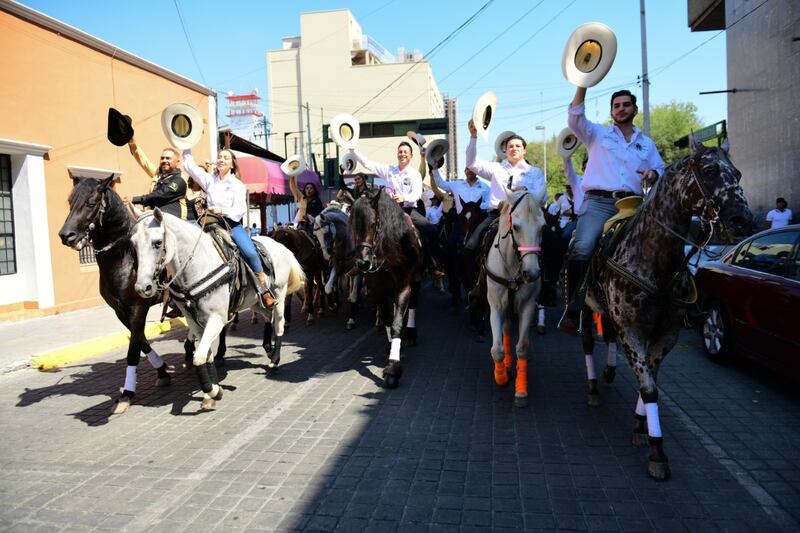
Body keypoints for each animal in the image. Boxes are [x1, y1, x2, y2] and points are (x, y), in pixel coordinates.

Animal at [58, 177, 177, 414]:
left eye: (91, 203)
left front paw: (127, 393)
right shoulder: (120, 311)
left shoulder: (138, 307)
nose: (66, 235)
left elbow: (133, 349)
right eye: (70, 201)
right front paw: (162, 371)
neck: (124, 257)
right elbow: (139, 340)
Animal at [131, 208, 306, 408]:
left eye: (157, 242)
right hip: (255, 302)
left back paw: (275, 361)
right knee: (268, 317)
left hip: (279, 294)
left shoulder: (217, 318)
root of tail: (280, 245)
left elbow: (199, 356)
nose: (142, 288)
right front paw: (212, 391)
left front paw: (212, 390)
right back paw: (268, 349)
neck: (197, 267)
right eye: (133, 244)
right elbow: (205, 354)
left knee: (279, 324)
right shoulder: (194, 321)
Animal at [352, 187, 424, 386]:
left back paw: (411, 335)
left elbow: (397, 324)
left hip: (416, 281)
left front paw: (393, 368)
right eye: (352, 225)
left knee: (413, 305)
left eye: (373, 223)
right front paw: (391, 347)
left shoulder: (404, 287)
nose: (362, 262)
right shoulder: (379, 290)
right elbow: (387, 320)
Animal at [484, 190, 548, 408]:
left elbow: (522, 348)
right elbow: (497, 349)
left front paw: (520, 390)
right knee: (504, 332)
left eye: (543, 227)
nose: (532, 273)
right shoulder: (495, 306)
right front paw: (501, 376)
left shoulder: (528, 307)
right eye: (517, 227)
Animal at [584, 137, 752, 478]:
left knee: (608, 337)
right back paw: (594, 386)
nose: (742, 220)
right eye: (709, 170)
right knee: (587, 341)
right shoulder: (632, 329)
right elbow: (649, 387)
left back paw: (608, 371)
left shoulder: (667, 333)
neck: (652, 261)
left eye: (738, 173)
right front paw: (657, 451)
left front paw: (641, 427)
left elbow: (650, 379)